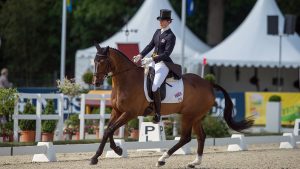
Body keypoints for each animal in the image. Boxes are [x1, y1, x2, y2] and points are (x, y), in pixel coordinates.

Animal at [91, 43, 253, 168]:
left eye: (103, 61)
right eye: (94, 61)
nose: (96, 83)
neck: (126, 80)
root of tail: (208, 84)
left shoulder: (130, 113)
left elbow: (110, 129)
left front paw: (104, 154)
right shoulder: (117, 111)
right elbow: (108, 130)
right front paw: (109, 152)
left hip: (189, 116)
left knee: (185, 138)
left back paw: (162, 159)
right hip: (196, 117)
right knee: (201, 136)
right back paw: (194, 162)